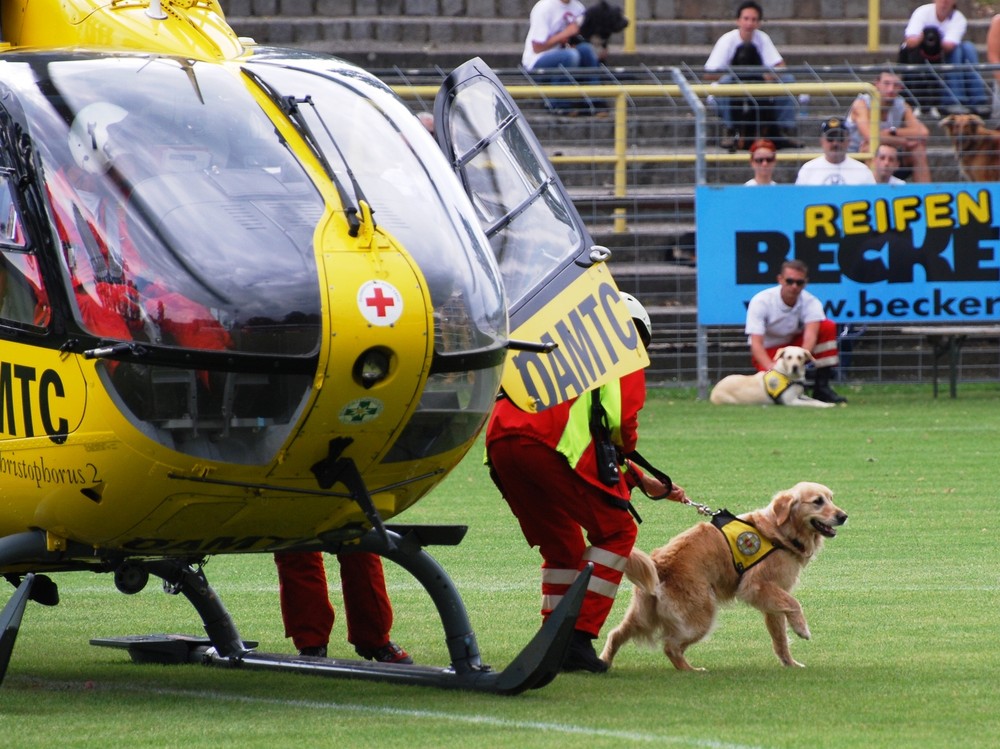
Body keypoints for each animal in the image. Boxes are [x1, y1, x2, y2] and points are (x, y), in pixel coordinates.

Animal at [596, 482, 848, 668]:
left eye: (831, 498)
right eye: (817, 501)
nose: (844, 516)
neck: (779, 531)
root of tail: (659, 562)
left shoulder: (772, 599)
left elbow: (780, 638)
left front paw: (790, 663)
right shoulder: (756, 586)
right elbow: (794, 604)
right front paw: (802, 629)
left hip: (643, 616)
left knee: (615, 634)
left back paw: (604, 662)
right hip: (701, 615)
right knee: (670, 646)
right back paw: (691, 671)